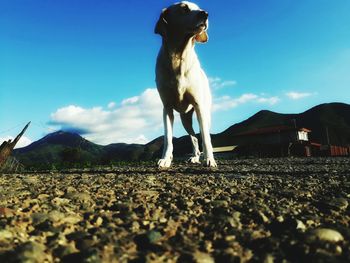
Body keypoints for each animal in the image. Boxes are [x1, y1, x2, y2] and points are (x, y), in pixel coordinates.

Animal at [155, 1, 216, 168]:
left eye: (198, 7)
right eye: (183, 9)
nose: (205, 14)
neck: (179, 56)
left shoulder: (198, 104)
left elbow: (206, 137)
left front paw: (210, 159)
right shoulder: (167, 107)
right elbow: (168, 137)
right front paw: (165, 159)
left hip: (205, 111)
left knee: (203, 133)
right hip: (185, 118)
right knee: (193, 137)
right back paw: (194, 157)